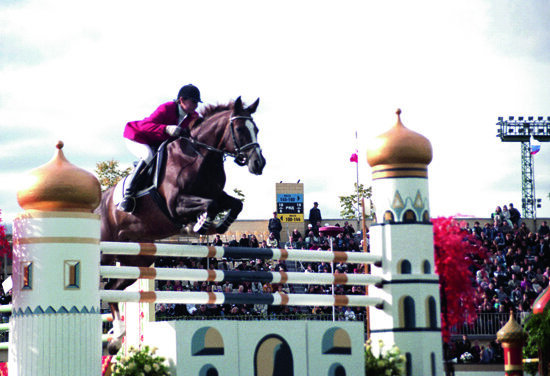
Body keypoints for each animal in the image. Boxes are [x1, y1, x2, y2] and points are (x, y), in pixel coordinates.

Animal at [98, 96, 268, 352]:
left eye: (256, 129)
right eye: (239, 129)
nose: (259, 163)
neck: (200, 155)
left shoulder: (217, 195)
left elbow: (233, 204)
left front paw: (213, 226)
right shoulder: (175, 205)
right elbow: (209, 205)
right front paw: (198, 226)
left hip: (135, 260)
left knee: (112, 289)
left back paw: (117, 338)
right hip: (105, 252)